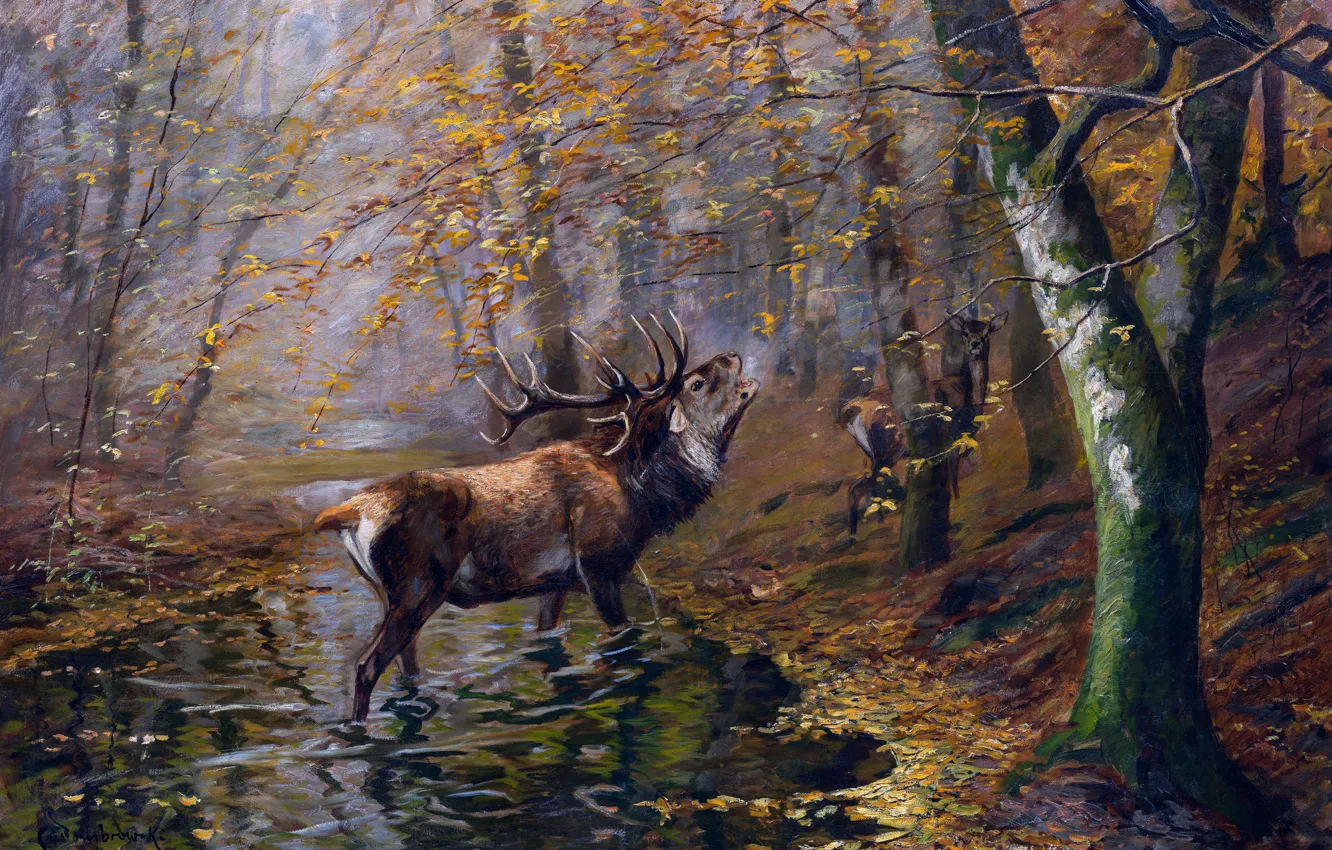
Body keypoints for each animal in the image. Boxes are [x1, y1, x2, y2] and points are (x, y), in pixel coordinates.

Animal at [312, 315, 759, 722]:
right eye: (696, 383)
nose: (732, 354)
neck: (642, 492)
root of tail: (353, 512)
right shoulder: (601, 565)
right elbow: (622, 641)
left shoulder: (556, 581)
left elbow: (548, 636)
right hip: (417, 587)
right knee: (367, 667)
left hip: (393, 594)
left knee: (405, 660)